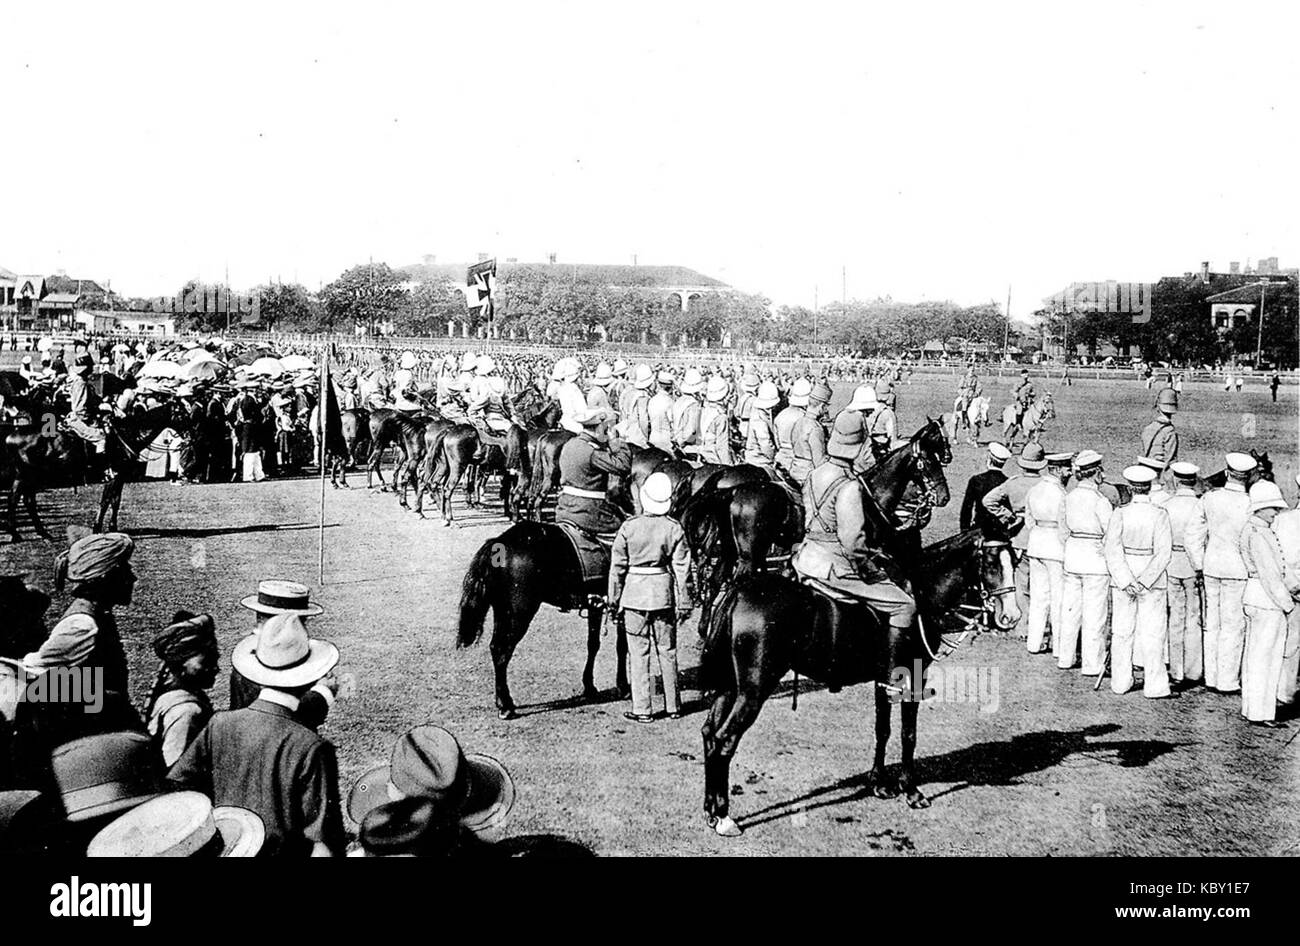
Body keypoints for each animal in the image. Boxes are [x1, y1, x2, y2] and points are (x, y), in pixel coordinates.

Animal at [696, 527, 1019, 836]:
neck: (922, 590)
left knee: (710, 734)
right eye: (991, 562)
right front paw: (911, 790)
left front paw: (879, 782)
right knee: (724, 740)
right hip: (753, 691)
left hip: (729, 686)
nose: (1011, 617)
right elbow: (908, 734)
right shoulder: (912, 678)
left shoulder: (884, 680)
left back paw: (710, 809)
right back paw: (724, 816)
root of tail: (739, 592)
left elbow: (882, 730)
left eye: (1015, 561)